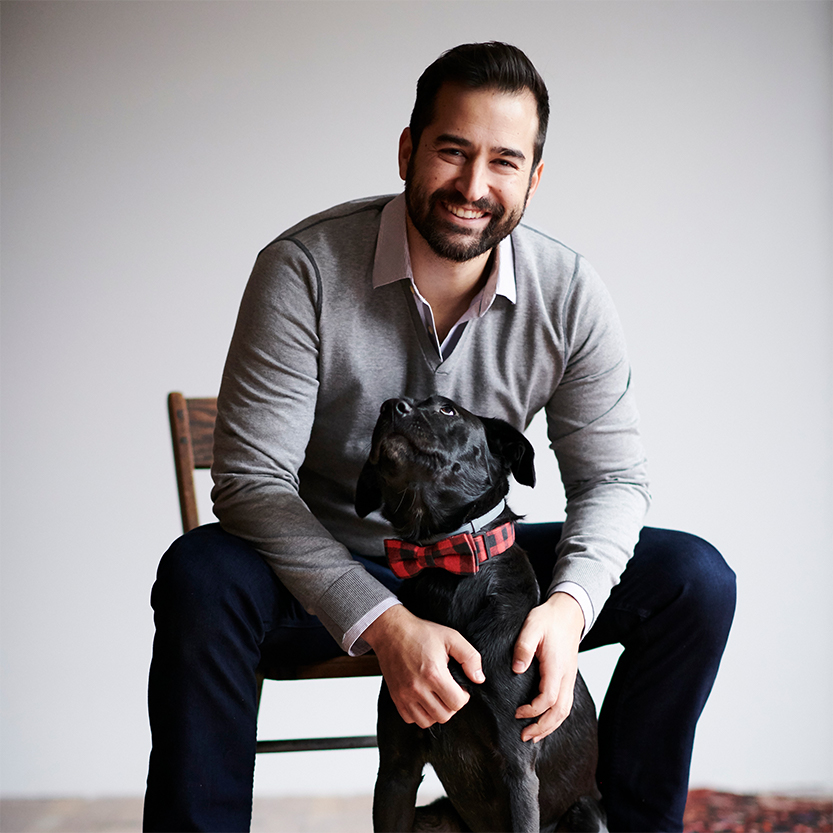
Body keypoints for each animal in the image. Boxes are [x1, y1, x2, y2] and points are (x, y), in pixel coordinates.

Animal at [356, 396, 604, 832]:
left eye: (447, 411)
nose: (389, 406)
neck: (445, 563)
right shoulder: (396, 769)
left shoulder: (518, 767)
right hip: (433, 817)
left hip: (585, 814)